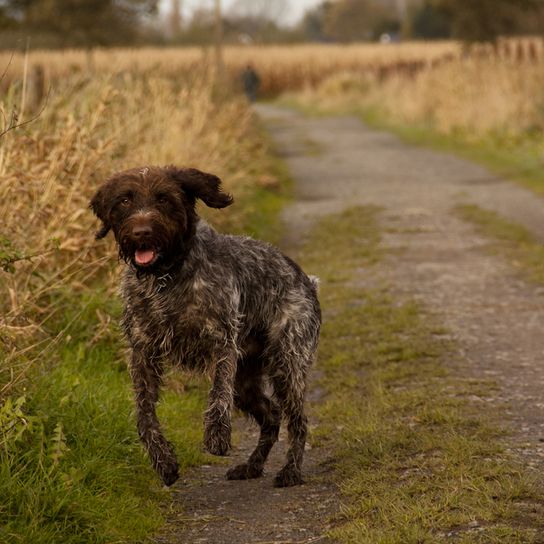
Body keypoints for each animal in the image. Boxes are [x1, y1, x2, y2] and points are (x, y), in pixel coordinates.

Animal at [87, 164, 320, 486]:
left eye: (163, 198)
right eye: (124, 200)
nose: (141, 232)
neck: (166, 278)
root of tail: (306, 280)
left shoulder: (221, 342)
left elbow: (217, 393)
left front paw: (217, 436)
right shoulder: (143, 352)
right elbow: (144, 415)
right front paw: (163, 460)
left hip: (287, 364)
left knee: (298, 421)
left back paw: (291, 471)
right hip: (245, 381)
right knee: (272, 415)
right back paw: (252, 466)